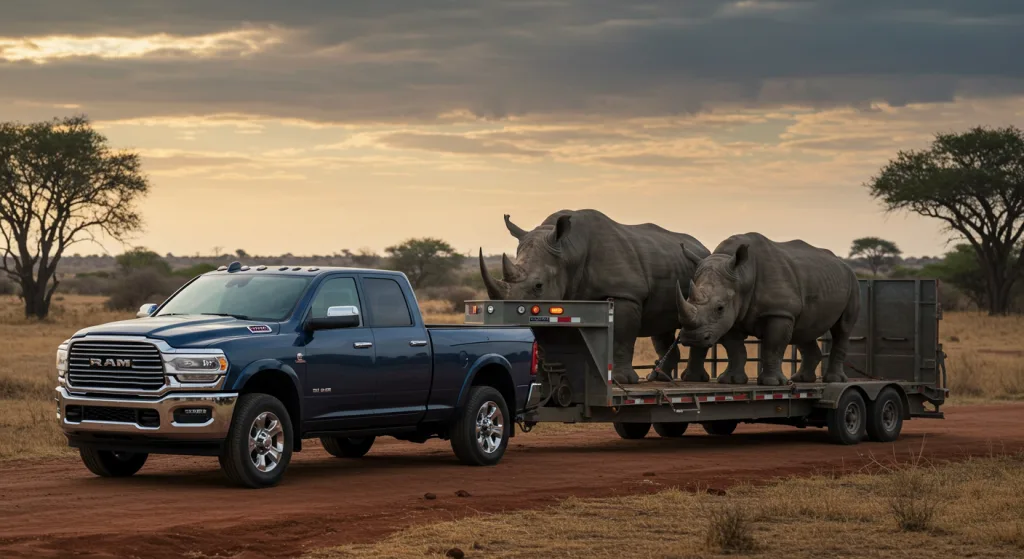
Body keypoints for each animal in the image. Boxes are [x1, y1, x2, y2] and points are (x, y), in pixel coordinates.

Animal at [480, 209, 712, 385]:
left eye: (538, 286)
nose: (506, 324)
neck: (568, 251)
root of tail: (704, 247)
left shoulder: (625, 295)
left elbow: (621, 336)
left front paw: (622, 381)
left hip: (701, 272)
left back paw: (692, 379)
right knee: (661, 328)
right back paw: (659, 378)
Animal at [675, 232, 860, 386]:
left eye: (719, 308)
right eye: (688, 300)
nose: (692, 338)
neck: (742, 275)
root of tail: (843, 264)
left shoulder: (779, 312)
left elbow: (773, 346)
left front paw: (772, 383)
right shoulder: (730, 317)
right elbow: (735, 348)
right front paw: (731, 381)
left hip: (852, 281)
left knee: (842, 329)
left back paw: (835, 380)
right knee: (805, 330)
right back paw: (801, 379)